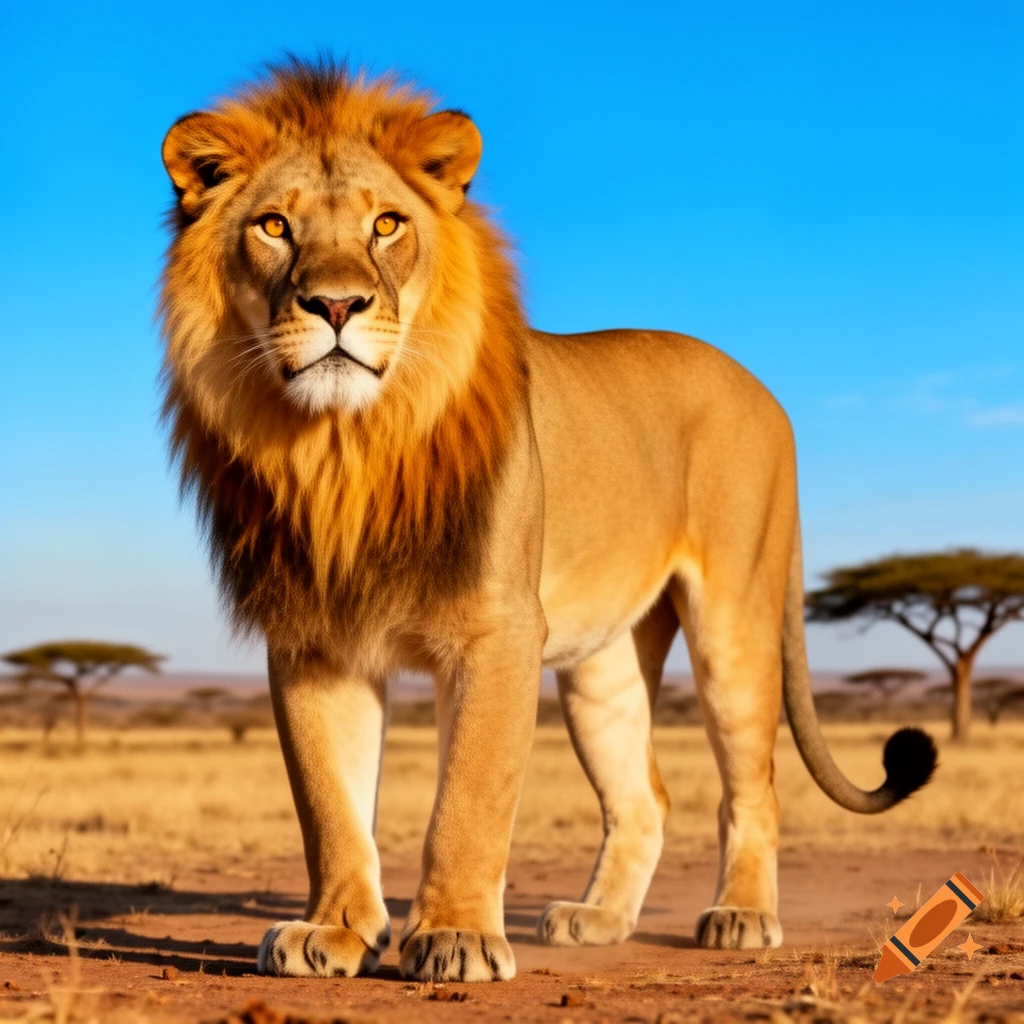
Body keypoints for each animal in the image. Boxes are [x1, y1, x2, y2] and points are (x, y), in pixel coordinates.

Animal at [159, 58, 936, 982]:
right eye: (275, 226)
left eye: (387, 225)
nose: (337, 306)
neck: (346, 448)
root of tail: (761, 387)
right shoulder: (313, 638)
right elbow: (329, 804)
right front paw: (334, 929)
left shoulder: (500, 629)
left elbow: (468, 797)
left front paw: (455, 936)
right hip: (604, 662)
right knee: (645, 795)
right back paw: (597, 919)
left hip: (735, 622)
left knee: (754, 785)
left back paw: (741, 915)